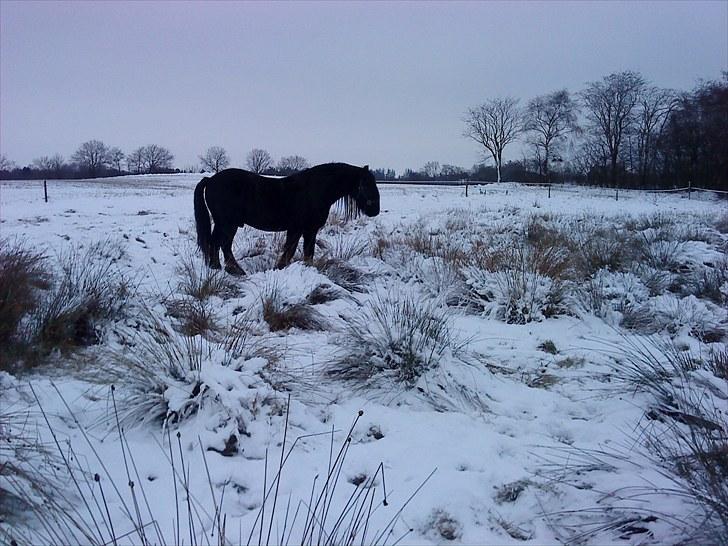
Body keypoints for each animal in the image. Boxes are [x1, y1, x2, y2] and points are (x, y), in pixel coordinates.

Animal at [193, 160, 382, 272]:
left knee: (221, 245)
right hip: (227, 223)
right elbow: (296, 250)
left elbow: (301, 251)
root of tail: (210, 180)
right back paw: (222, 269)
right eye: (366, 184)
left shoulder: (303, 230)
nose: (375, 210)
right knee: (218, 244)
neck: (315, 190)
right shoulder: (304, 229)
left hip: (227, 224)